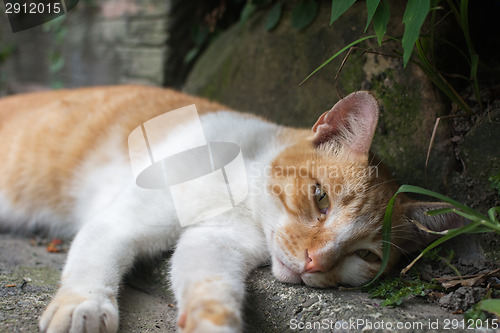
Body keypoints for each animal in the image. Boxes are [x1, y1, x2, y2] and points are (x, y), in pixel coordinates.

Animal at [0, 85, 462, 332]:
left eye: (365, 255)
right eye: (321, 197)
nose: (315, 261)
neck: (241, 195)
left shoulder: (213, 242)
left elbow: (210, 286)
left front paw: (212, 322)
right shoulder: (122, 222)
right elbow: (95, 260)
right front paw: (83, 307)